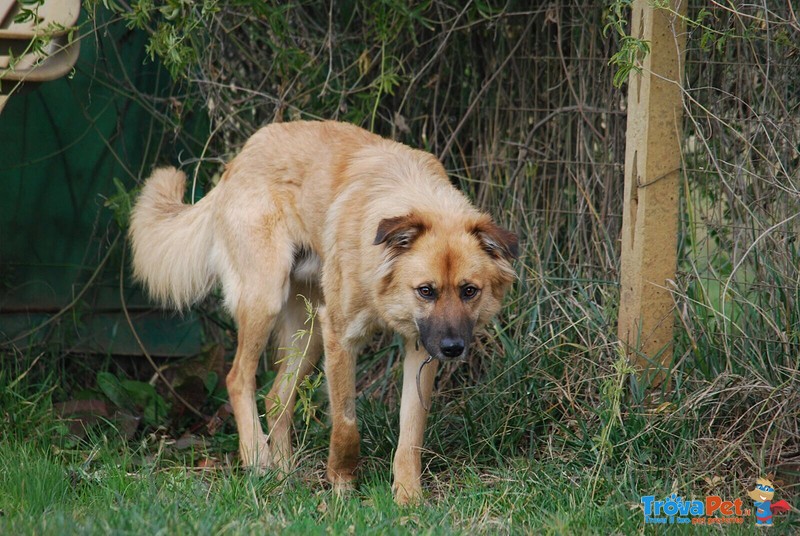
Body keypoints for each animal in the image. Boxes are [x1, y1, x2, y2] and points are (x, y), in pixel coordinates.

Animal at [130, 120, 520, 502]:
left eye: (469, 291)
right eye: (426, 291)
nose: (453, 349)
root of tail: (241, 157)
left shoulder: (418, 346)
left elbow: (411, 432)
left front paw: (408, 497)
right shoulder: (341, 337)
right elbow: (346, 423)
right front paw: (342, 486)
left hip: (309, 332)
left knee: (276, 397)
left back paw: (285, 478)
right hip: (267, 301)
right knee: (238, 378)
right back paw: (258, 459)